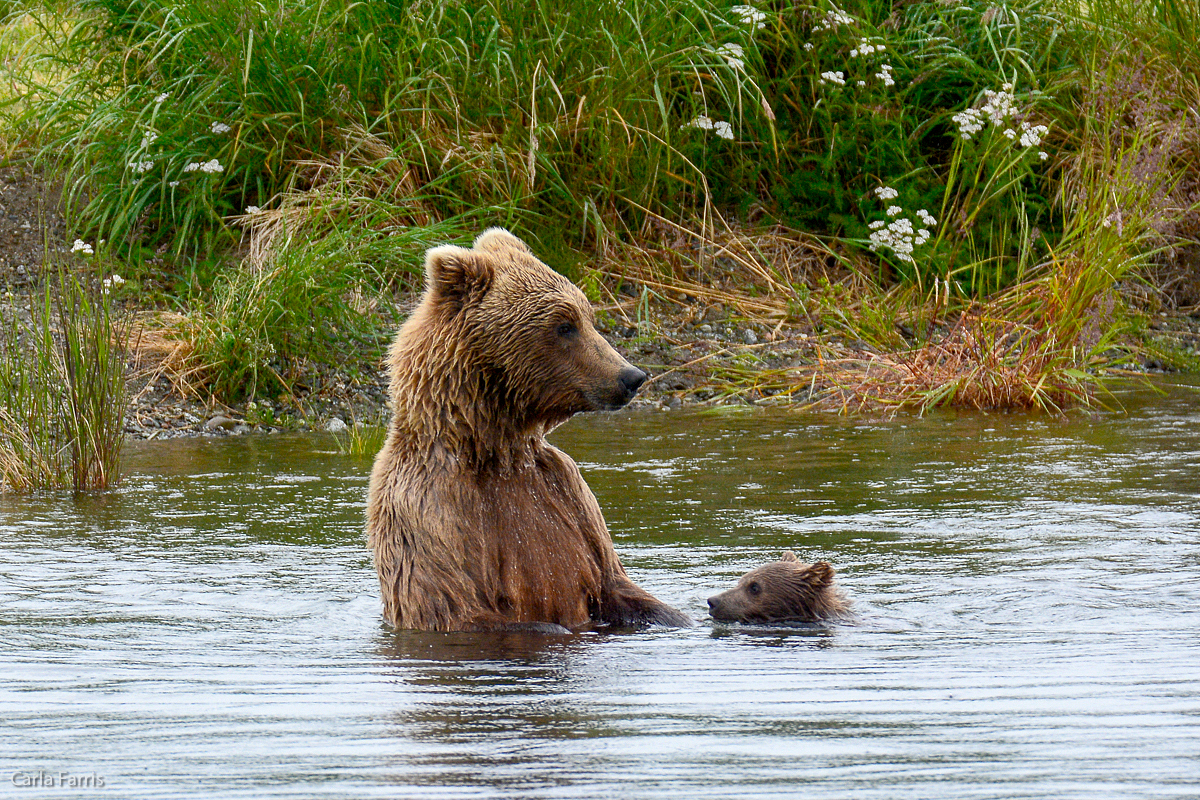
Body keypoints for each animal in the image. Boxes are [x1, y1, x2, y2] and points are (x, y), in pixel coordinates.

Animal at [362, 227, 696, 633]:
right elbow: (456, 604)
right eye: (564, 325)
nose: (631, 376)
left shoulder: (567, 492)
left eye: (587, 316)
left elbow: (615, 581)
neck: (494, 448)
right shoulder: (431, 507)